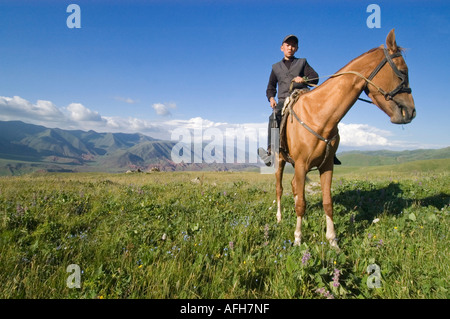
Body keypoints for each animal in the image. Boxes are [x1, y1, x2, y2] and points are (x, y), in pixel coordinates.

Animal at [276, 29, 416, 250]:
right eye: (403, 70)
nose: (411, 111)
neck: (320, 114)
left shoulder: (326, 166)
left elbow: (327, 203)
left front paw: (333, 240)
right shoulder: (300, 164)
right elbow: (300, 204)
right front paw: (298, 239)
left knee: (294, 186)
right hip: (281, 160)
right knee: (280, 188)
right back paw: (280, 217)